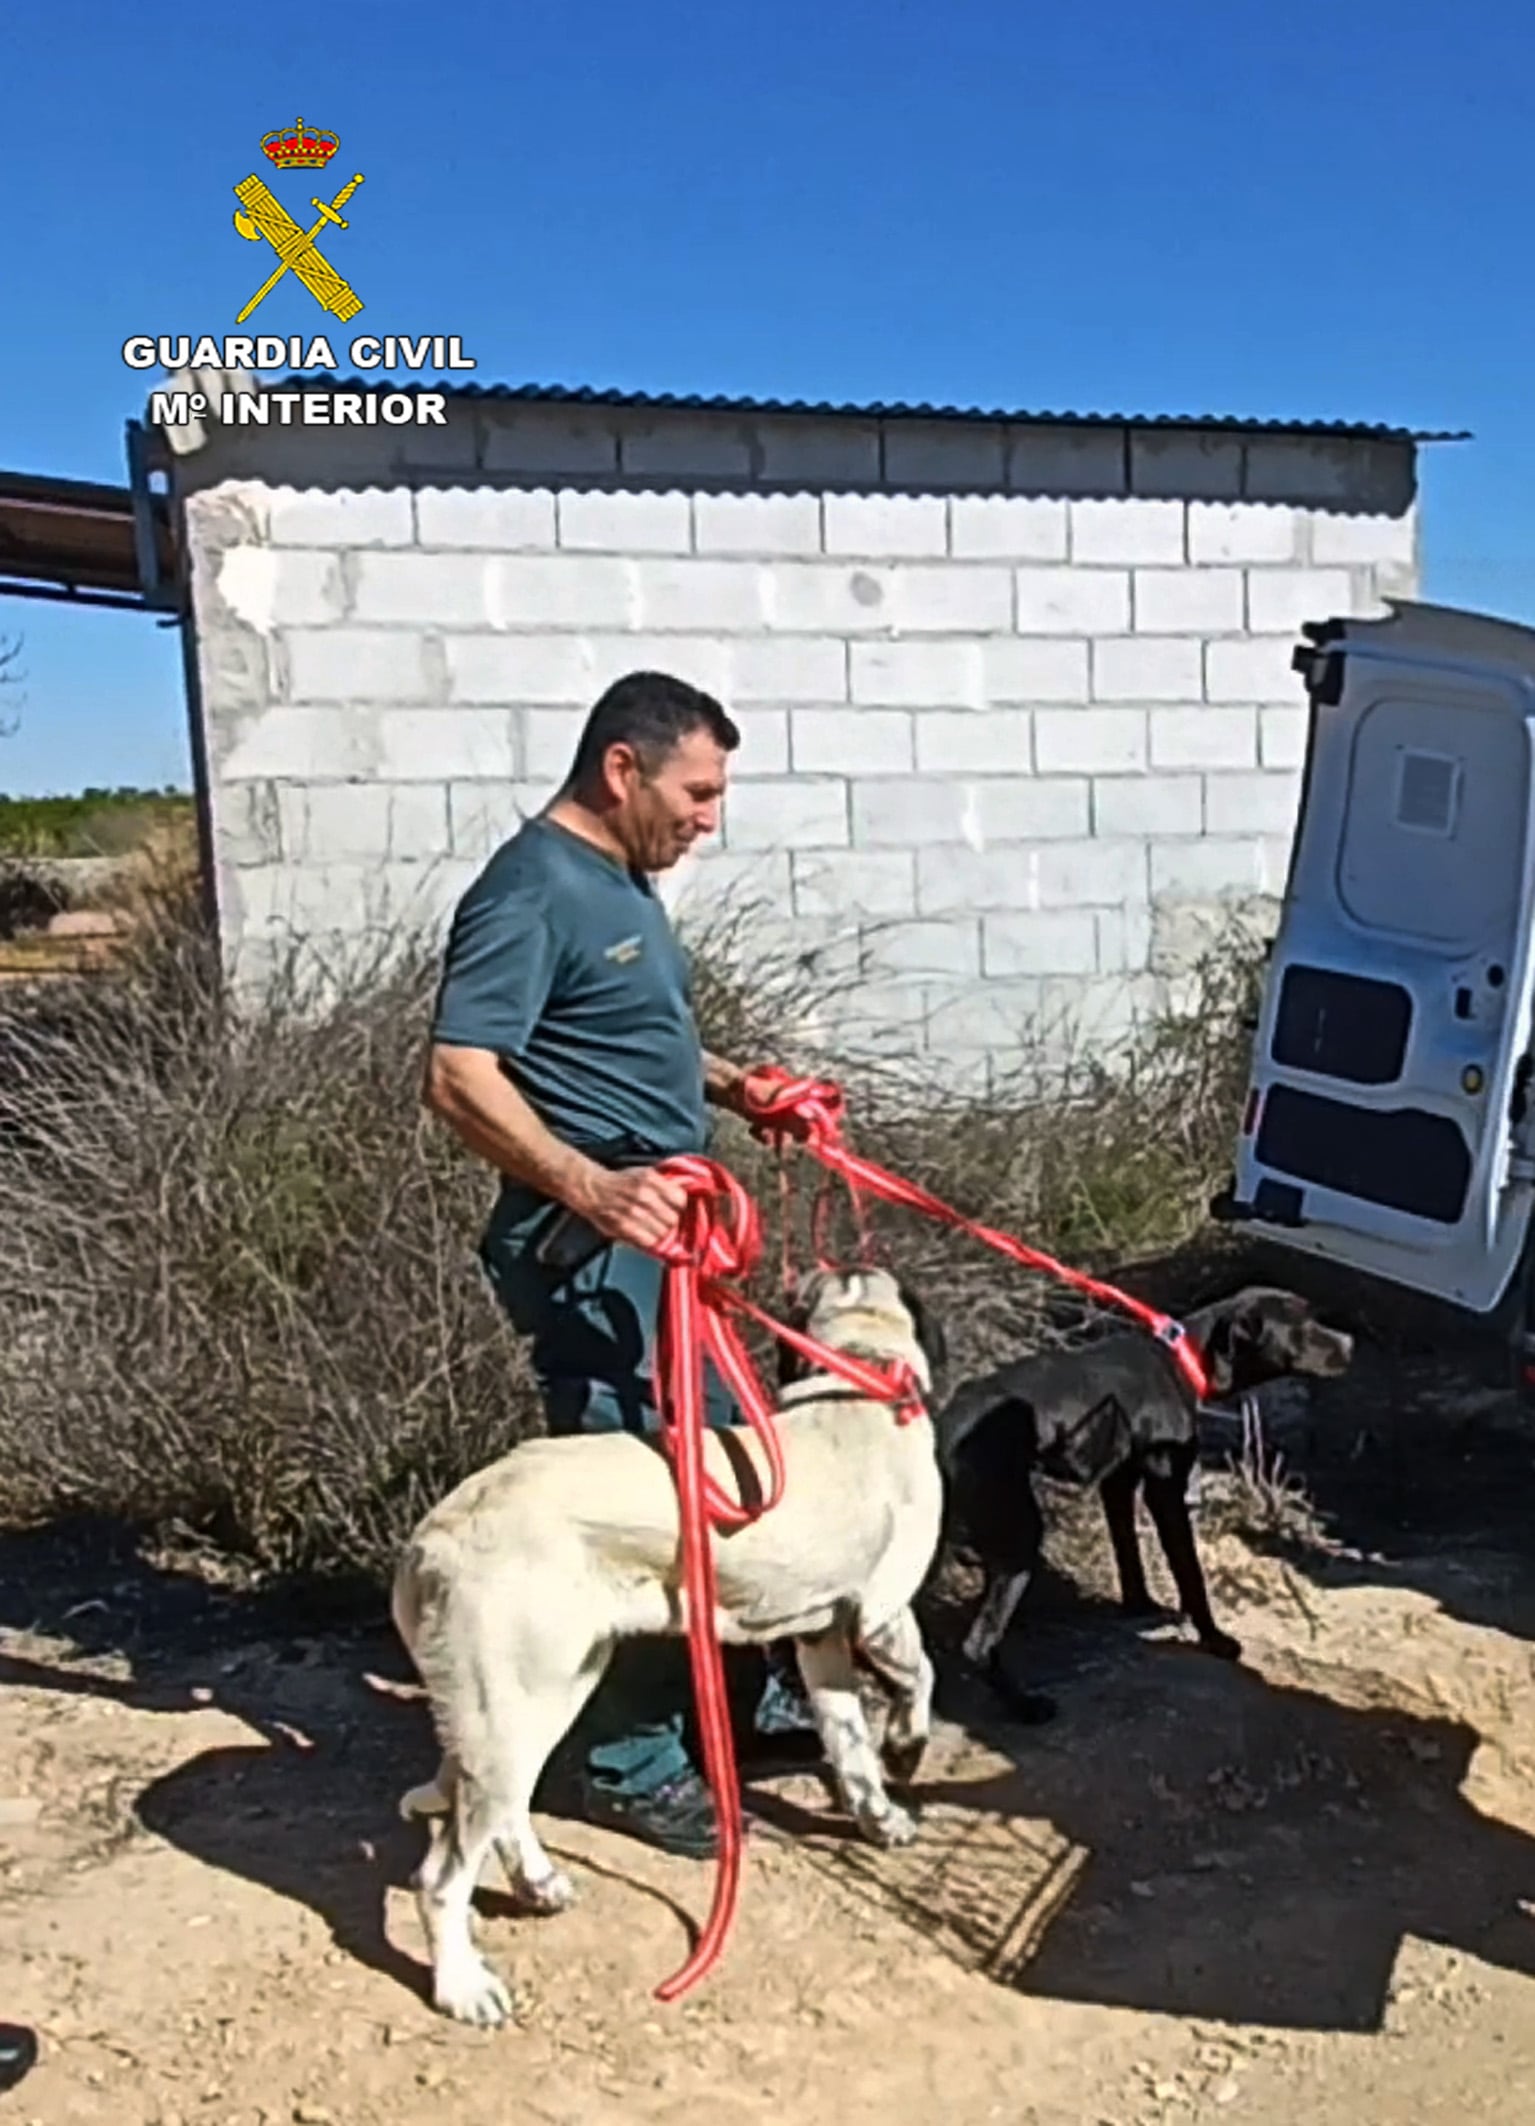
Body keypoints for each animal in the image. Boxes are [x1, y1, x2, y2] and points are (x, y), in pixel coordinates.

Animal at [391, 1258, 943, 2023]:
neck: (861, 1375)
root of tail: (431, 1537)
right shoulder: (882, 1613)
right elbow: (921, 1680)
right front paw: (906, 1749)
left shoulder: (822, 1640)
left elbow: (850, 1746)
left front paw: (878, 1815)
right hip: (516, 1708)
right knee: (441, 1877)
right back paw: (462, 1987)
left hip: (548, 1694)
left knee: (507, 1813)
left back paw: (538, 1884)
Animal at [931, 1284, 1352, 1717]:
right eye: (1302, 1327)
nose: (1350, 1345)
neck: (1187, 1359)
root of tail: (945, 1428)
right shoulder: (1165, 1489)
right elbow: (1189, 1571)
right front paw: (1214, 1639)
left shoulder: (1118, 1482)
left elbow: (1127, 1549)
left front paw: (1139, 1604)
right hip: (1018, 1533)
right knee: (978, 1644)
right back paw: (1026, 1707)